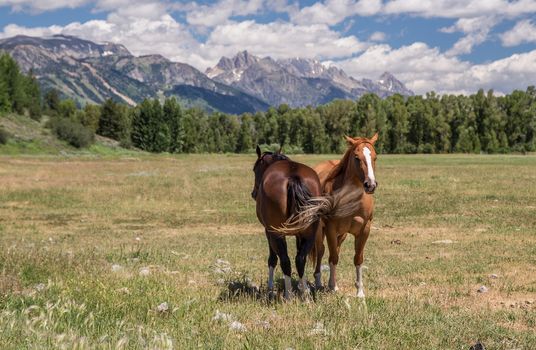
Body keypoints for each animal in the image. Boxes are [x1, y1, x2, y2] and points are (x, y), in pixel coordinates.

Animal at [252, 146, 362, 300]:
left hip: (277, 234)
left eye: (255, 169)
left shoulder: (269, 232)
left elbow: (272, 259)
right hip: (310, 232)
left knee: (285, 260)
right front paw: (301, 286)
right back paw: (305, 296)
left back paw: (288, 295)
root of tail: (293, 177)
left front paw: (270, 287)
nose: (254, 193)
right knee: (300, 259)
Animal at [312, 133, 378, 298]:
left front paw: (360, 292)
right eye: (356, 157)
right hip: (320, 230)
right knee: (321, 251)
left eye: (375, 157)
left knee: (335, 249)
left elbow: (358, 259)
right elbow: (333, 257)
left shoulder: (364, 230)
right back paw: (319, 283)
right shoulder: (330, 228)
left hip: (341, 234)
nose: (370, 185)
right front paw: (332, 287)